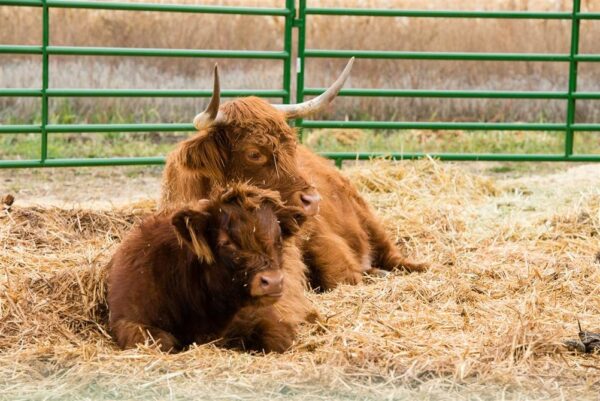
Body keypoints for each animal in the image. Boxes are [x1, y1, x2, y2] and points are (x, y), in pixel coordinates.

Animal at [106, 183, 304, 352]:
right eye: (226, 242)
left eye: (278, 239)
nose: (273, 281)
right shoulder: (130, 322)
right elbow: (162, 343)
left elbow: (277, 339)